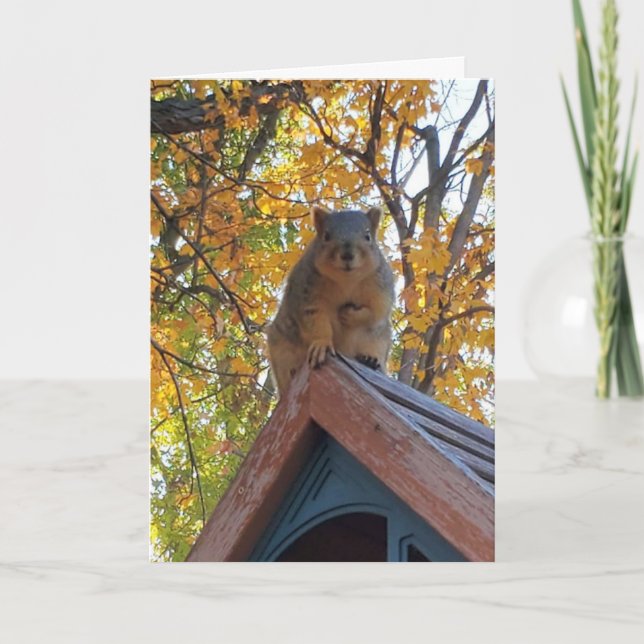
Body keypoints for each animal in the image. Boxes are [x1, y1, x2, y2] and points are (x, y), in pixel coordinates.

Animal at [267, 205, 395, 396]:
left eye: (368, 236)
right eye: (326, 236)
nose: (347, 255)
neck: (346, 280)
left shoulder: (381, 289)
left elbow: (375, 313)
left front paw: (348, 314)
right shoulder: (307, 292)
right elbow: (315, 321)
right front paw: (322, 344)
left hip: (380, 340)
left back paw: (370, 359)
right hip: (281, 351)